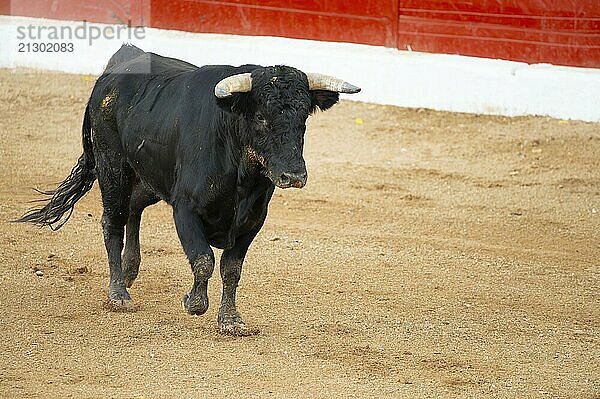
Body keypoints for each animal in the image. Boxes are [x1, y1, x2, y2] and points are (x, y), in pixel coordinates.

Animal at [16, 43, 358, 336]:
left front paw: (230, 319)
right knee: (112, 220)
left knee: (133, 208)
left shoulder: (253, 221)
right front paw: (194, 303)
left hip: (150, 178)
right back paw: (118, 292)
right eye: (261, 117)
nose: (294, 175)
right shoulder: (185, 209)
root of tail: (115, 69)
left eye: (304, 118)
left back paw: (129, 270)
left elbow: (231, 268)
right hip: (111, 166)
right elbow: (204, 259)